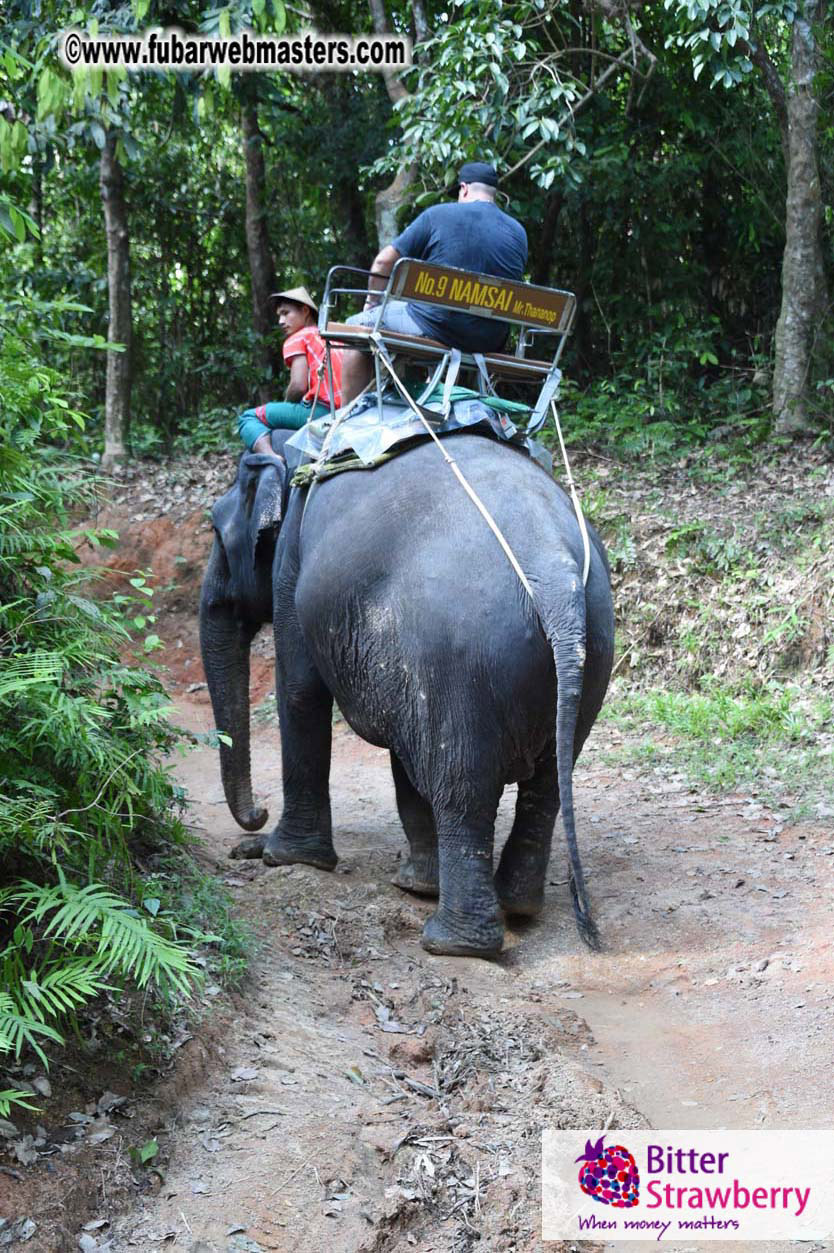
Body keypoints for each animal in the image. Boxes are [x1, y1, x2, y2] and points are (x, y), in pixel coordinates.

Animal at [199, 428, 614, 958]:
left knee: (462, 786)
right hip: (590, 655)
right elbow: (404, 750)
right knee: (543, 787)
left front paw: (284, 858)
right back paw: (516, 906)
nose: (257, 815)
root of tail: (554, 574)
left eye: (215, 531)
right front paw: (415, 884)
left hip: (462, 660)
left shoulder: (293, 569)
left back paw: (451, 942)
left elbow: (299, 692)